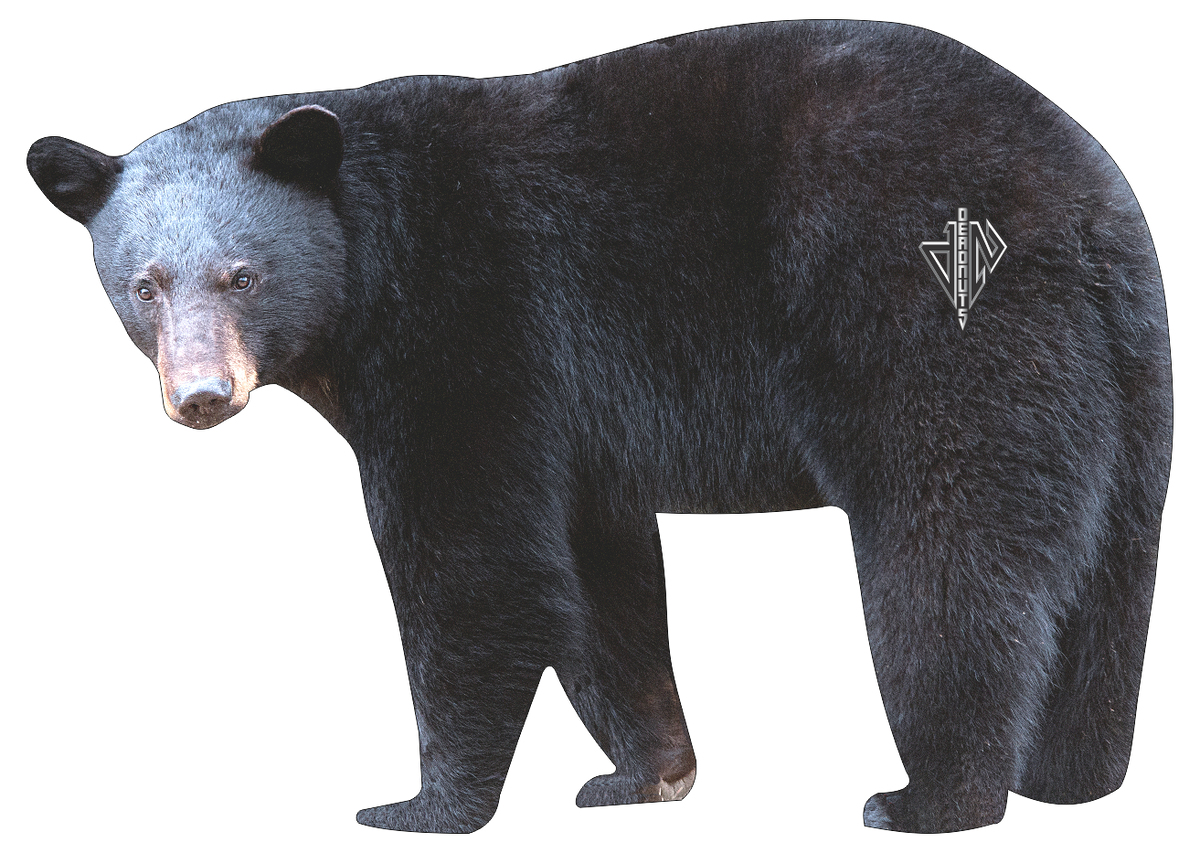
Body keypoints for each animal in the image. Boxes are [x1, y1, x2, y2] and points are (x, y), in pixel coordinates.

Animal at [26, 20, 1170, 834]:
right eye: (144, 284)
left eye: (242, 275)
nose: (202, 394)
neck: (370, 244)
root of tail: (1087, 202)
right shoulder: (573, 414)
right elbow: (597, 570)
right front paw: (649, 772)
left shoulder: (475, 323)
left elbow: (476, 557)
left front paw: (426, 803)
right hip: (1122, 378)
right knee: (1107, 568)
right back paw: (1072, 774)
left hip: (936, 314)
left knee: (951, 547)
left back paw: (933, 796)